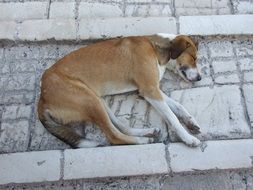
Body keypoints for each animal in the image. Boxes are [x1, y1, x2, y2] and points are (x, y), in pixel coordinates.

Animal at [37, 33, 203, 148]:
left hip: (97, 100)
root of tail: (42, 98)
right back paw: (144, 140)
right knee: (114, 136)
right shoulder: (149, 90)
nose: (200, 78)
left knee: (120, 126)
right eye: (194, 58)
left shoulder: (151, 90)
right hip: (89, 100)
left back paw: (146, 133)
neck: (156, 48)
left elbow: (178, 106)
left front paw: (191, 122)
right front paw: (188, 138)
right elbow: (172, 117)